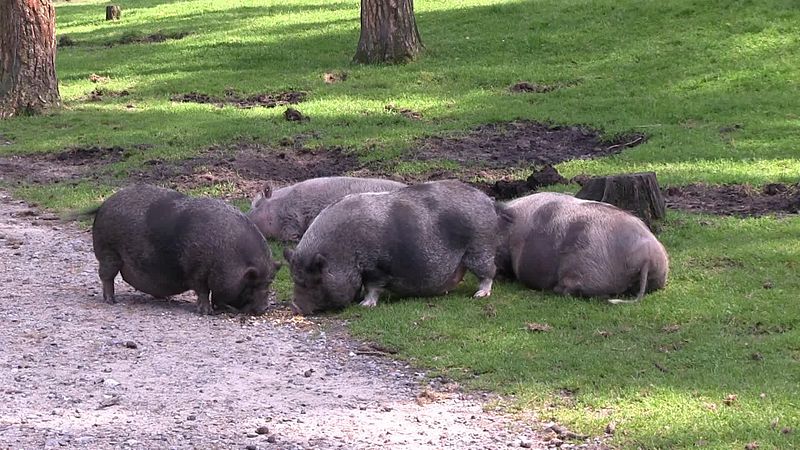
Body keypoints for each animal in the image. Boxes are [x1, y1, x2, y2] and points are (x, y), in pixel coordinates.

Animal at [87, 183, 280, 312]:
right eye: (252, 283)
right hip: (108, 251)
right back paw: (111, 301)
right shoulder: (196, 270)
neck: (228, 256)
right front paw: (206, 312)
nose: (264, 308)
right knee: (106, 276)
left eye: (269, 283)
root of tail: (104, 204)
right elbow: (203, 291)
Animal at [284, 181, 510, 314]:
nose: (295, 307)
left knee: (488, 272)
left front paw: (365, 305)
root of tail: (489, 202)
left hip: (479, 247)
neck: (343, 253)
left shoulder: (376, 267)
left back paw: (479, 295)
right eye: (295, 279)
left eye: (314, 280)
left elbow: (373, 287)